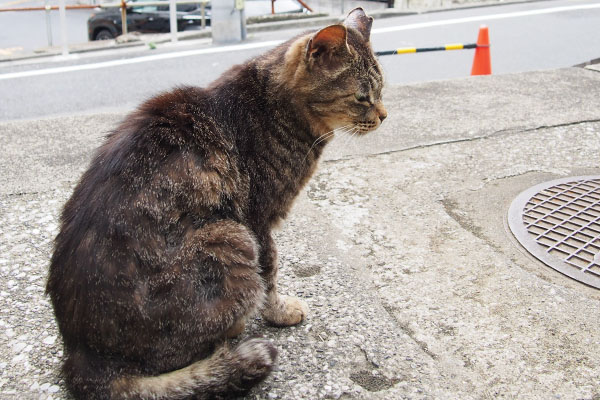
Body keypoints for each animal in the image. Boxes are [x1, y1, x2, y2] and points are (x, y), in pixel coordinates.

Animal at [45, 7, 384, 400]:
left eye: (382, 90)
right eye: (362, 97)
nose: (384, 114)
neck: (274, 105)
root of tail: (83, 356)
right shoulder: (258, 221)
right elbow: (270, 276)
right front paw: (281, 312)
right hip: (229, 235)